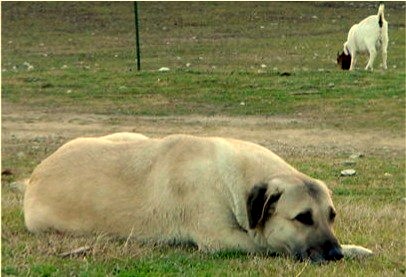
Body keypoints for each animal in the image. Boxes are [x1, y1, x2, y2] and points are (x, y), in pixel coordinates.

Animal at [23, 132, 372, 260]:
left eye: (331, 216)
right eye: (302, 218)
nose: (335, 254)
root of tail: (33, 177)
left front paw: (355, 248)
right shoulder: (221, 240)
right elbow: (267, 243)